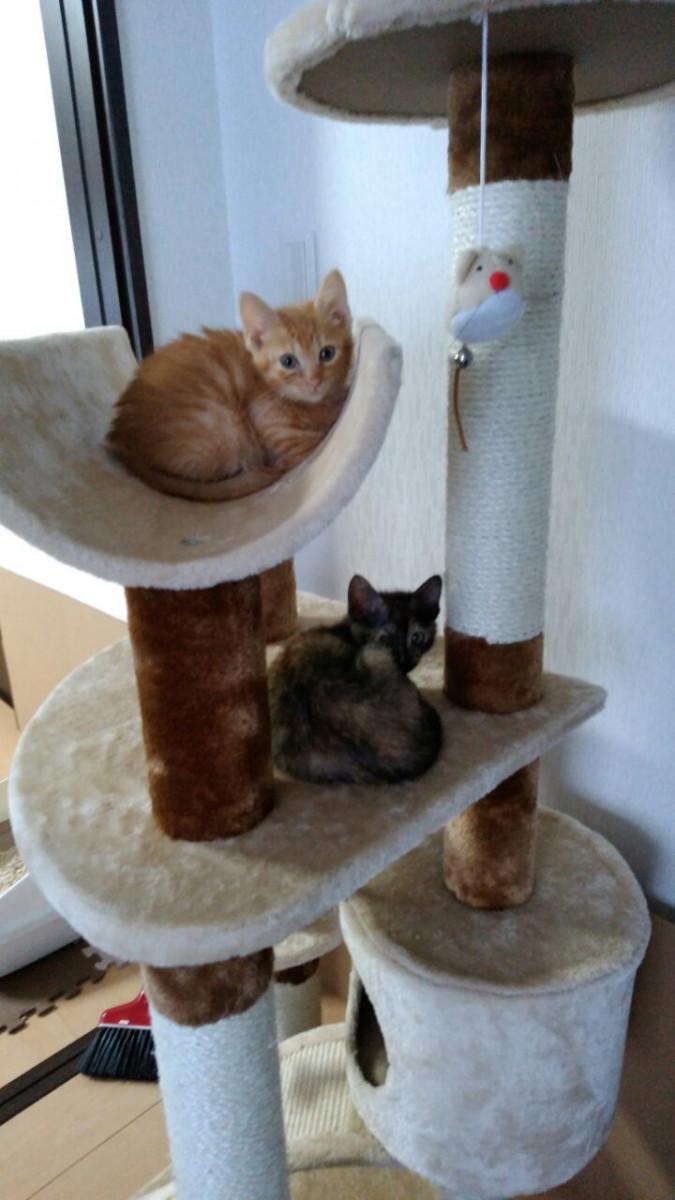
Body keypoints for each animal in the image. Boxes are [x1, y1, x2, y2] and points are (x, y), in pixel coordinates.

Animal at [106, 270, 353, 501]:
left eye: (327, 353)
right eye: (288, 361)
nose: (315, 382)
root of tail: (123, 440)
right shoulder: (287, 440)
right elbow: (315, 438)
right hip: (225, 427)